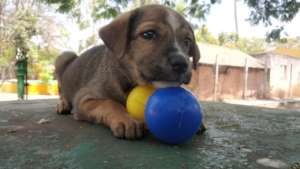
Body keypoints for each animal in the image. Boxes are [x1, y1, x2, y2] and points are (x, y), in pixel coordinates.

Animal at [55, 4, 205, 140]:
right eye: (148, 34)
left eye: (187, 41)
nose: (182, 64)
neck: (128, 79)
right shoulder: (84, 98)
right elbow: (109, 103)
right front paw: (126, 119)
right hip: (64, 57)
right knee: (61, 90)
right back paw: (63, 104)